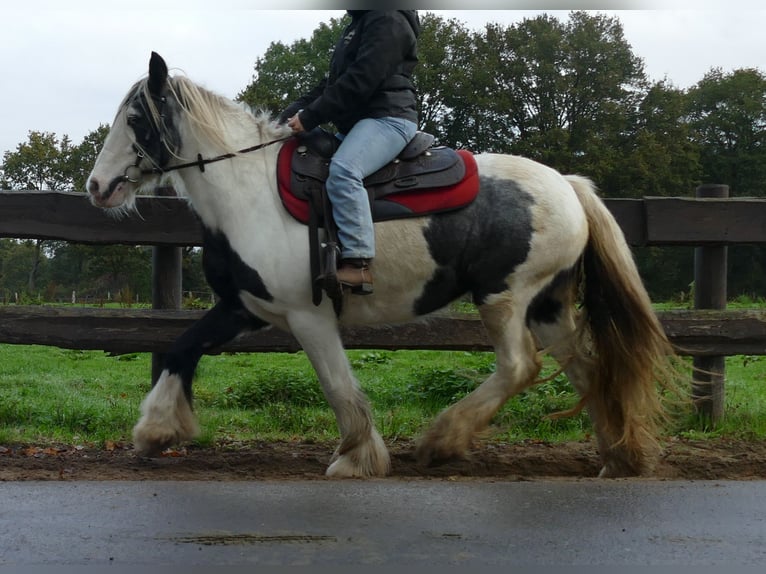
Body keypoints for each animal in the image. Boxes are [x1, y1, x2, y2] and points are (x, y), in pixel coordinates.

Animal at [86, 52, 682, 478]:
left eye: (135, 118)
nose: (97, 186)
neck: (249, 192)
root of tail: (569, 185)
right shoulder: (244, 308)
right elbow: (181, 349)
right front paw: (156, 431)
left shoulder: (308, 316)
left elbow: (338, 386)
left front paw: (357, 456)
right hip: (547, 306)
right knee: (588, 369)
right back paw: (618, 457)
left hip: (504, 297)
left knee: (519, 367)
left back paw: (443, 440)